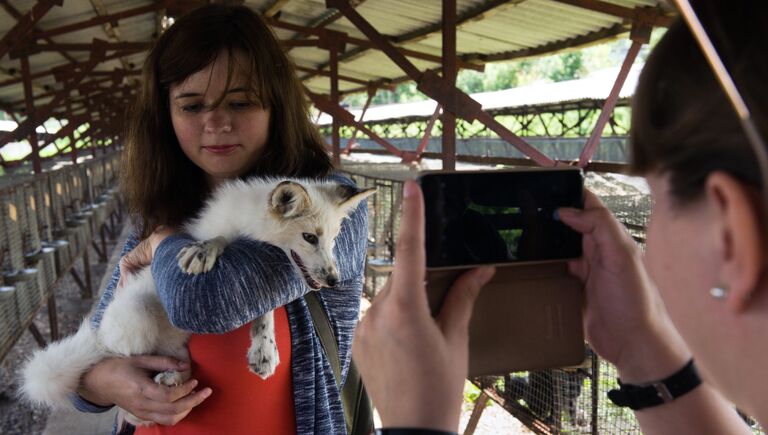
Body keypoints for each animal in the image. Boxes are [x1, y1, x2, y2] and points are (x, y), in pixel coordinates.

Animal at [21, 177, 376, 426]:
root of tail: (100, 337)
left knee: (176, 366)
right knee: (125, 374)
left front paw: (263, 351)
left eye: (334, 240)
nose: (334, 279)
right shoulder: (213, 229)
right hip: (136, 323)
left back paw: (173, 378)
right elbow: (214, 238)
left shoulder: (259, 286)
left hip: (176, 346)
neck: (248, 231)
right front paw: (203, 250)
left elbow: (264, 312)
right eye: (309, 237)